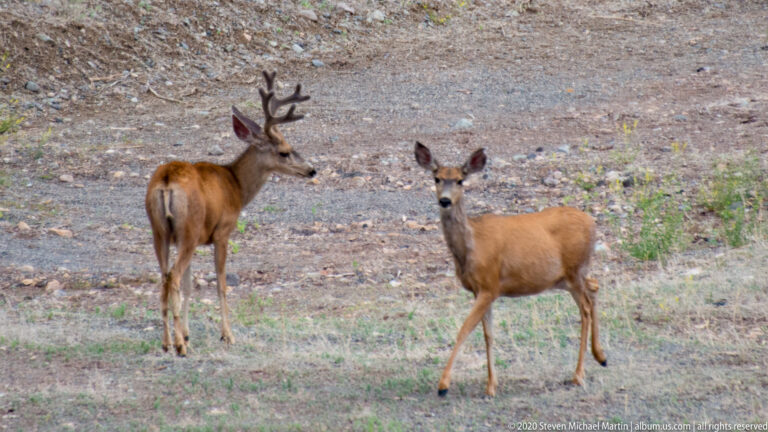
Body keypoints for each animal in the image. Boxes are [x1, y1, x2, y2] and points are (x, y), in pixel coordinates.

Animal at [145, 71, 316, 356]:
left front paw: (188, 333)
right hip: (189, 230)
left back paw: (168, 342)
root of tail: (167, 183)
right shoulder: (222, 232)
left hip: (160, 232)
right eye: (284, 151)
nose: (312, 170)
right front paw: (227, 335)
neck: (236, 185)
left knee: (165, 278)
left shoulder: (182, 238)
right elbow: (221, 284)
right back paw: (180, 347)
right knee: (173, 277)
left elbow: (190, 286)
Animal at [413, 142, 606, 397]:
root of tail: (593, 223)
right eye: (436, 178)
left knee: (584, 309)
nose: (445, 201)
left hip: (575, 270)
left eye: (460, 181)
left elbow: (464, 329)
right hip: (569, 276)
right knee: (594, 287)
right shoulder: (478, 290)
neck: (471, 247)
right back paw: (601, 357)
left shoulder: (489, 285)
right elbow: (488, 334)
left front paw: (443, 385)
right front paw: (491, 385)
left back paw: (578, 374)